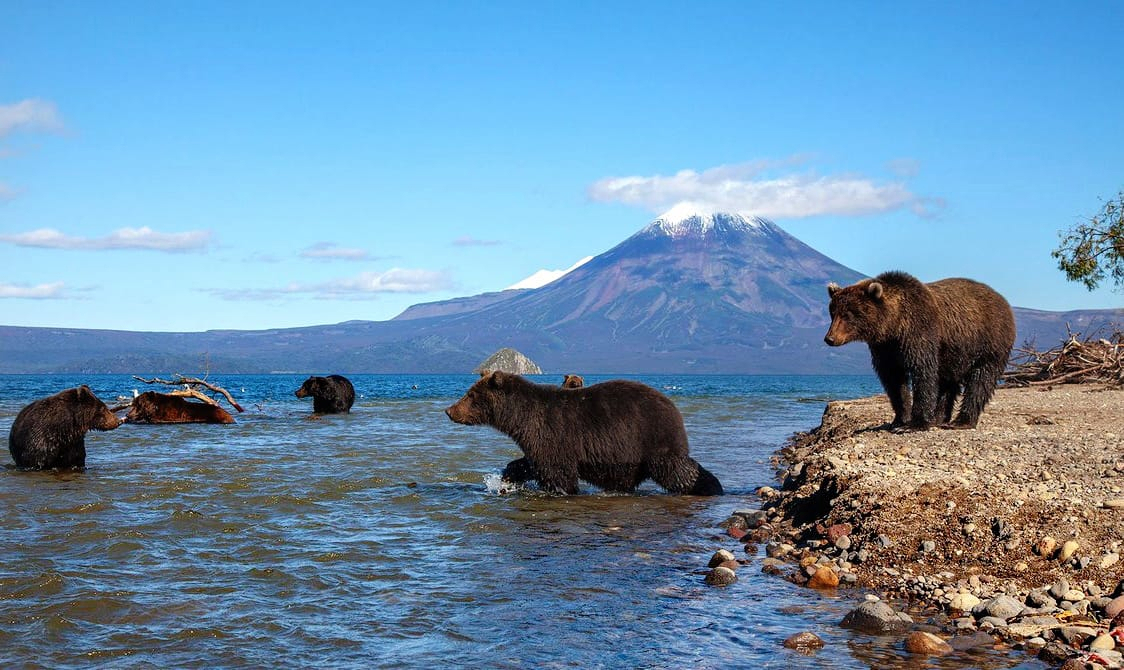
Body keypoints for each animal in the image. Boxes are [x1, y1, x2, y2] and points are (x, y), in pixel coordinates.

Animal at [442, 370, 723, 496]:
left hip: (653, 440)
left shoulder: (553, 433)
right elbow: (528, 463)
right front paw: (506, 479)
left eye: (470, 394)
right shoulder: (538, 441)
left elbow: (558, 473)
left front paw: (562, 490)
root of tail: (673, 407)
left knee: (678, 470)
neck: (520, 418)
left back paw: (711, 486)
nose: (449, 410)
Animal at [822, 268, 1016, 429]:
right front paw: (900, 419)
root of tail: (1003, 301)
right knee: (948, 381)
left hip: (989, 342)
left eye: (848, 314)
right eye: (833, 312)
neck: (894, 324)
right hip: (954, 351)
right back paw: (939, 418)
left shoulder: (919, 332)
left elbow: (923, 371)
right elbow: (893, 379)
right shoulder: (884, 347)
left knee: (981, 379)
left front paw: (916, 423)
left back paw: (962, 421)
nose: (830, 338)